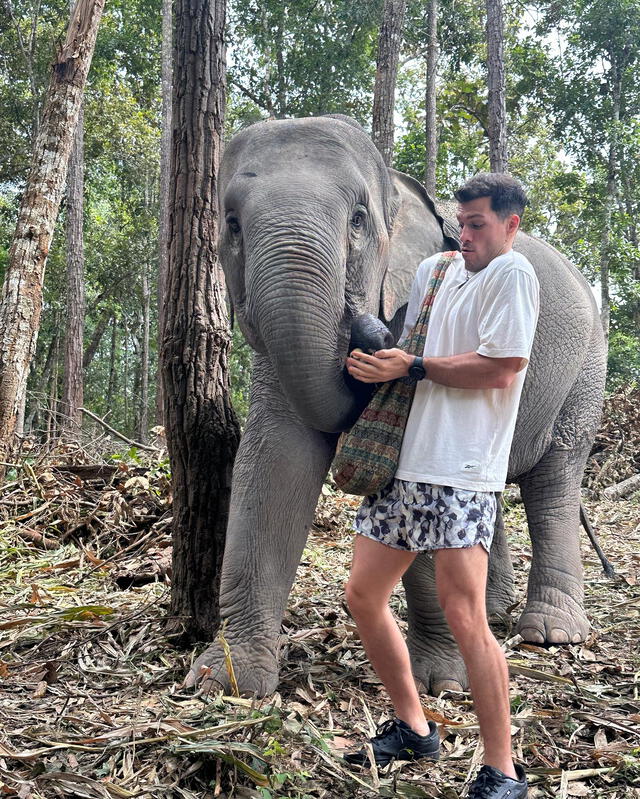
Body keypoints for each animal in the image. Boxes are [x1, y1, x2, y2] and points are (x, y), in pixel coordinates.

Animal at [185, 115, 604, 696]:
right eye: (232, 224)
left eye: (358, 220)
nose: (365, 331)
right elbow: (276, 457)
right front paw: (226, 681)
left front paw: (443, 684)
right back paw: (493, 614)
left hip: (585, 374)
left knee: (555, 481)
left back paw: (550, 634)